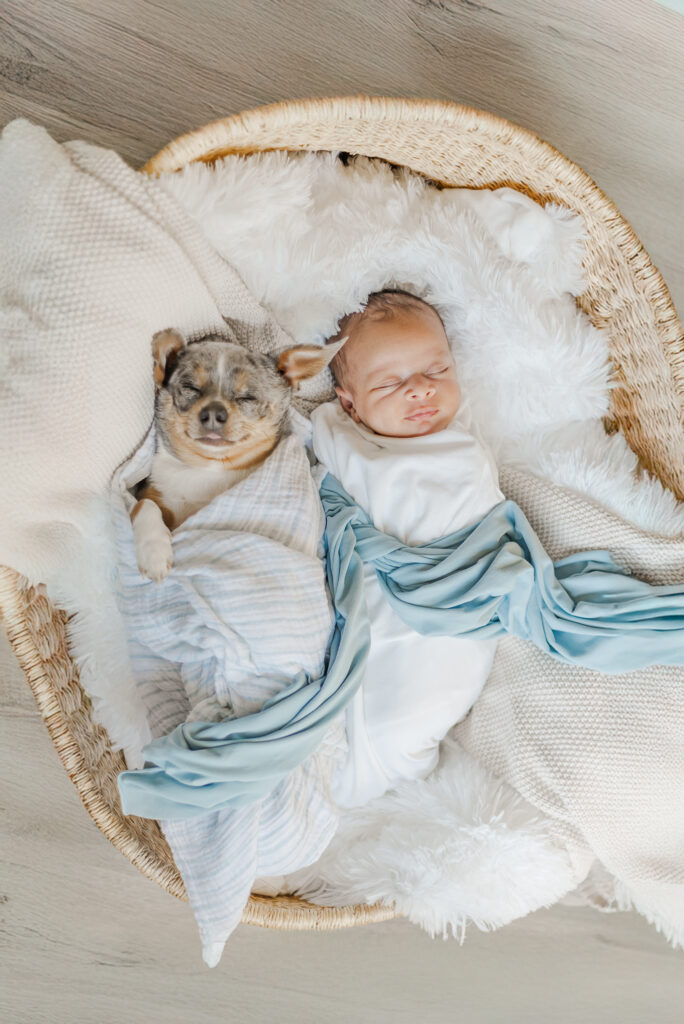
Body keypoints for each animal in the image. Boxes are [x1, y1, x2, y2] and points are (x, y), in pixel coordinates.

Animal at [130, 329, 342, 585]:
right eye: (191, 388)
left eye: (247, 398)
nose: (213, 412)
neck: (210, 468)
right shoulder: (149, 491)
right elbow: (143, 505)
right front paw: (154, 552)